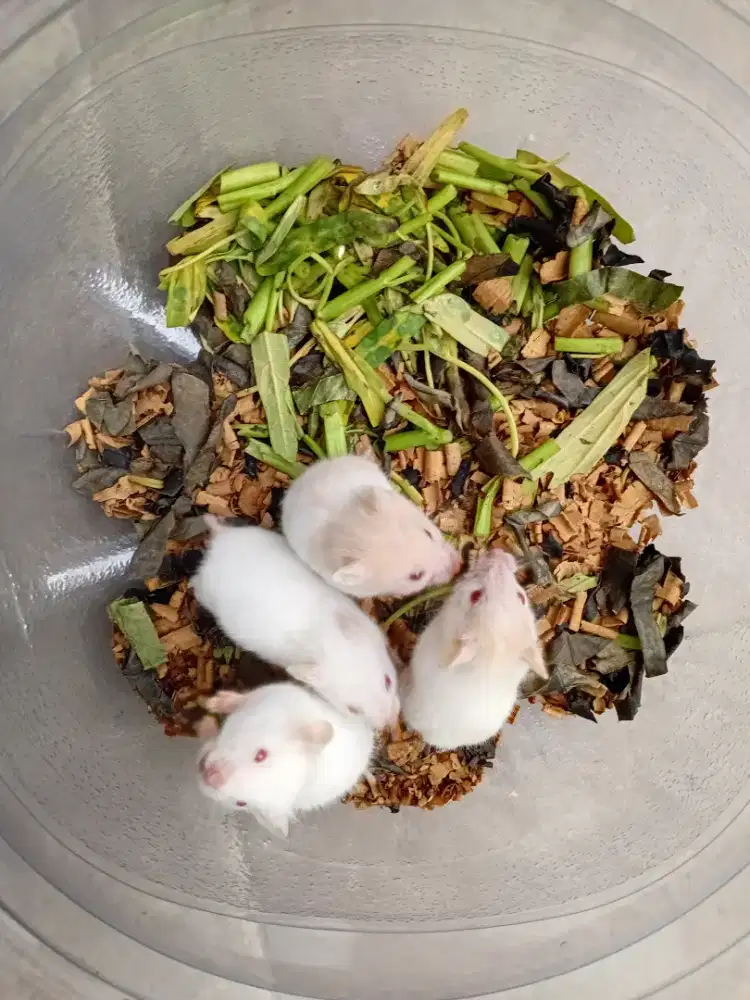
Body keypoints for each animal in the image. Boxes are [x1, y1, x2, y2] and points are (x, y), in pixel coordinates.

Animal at [191, 519, 399, 729]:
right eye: (353, 710)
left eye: (388, 681)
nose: (391, 721)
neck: (323, 638)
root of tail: (219, 543)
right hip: (206, 592)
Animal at [196, 684, 374, 835]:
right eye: (261, 755)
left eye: (241, 803)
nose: (209, 776)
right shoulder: (269, 693)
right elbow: (240, 699)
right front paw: (212, 702)